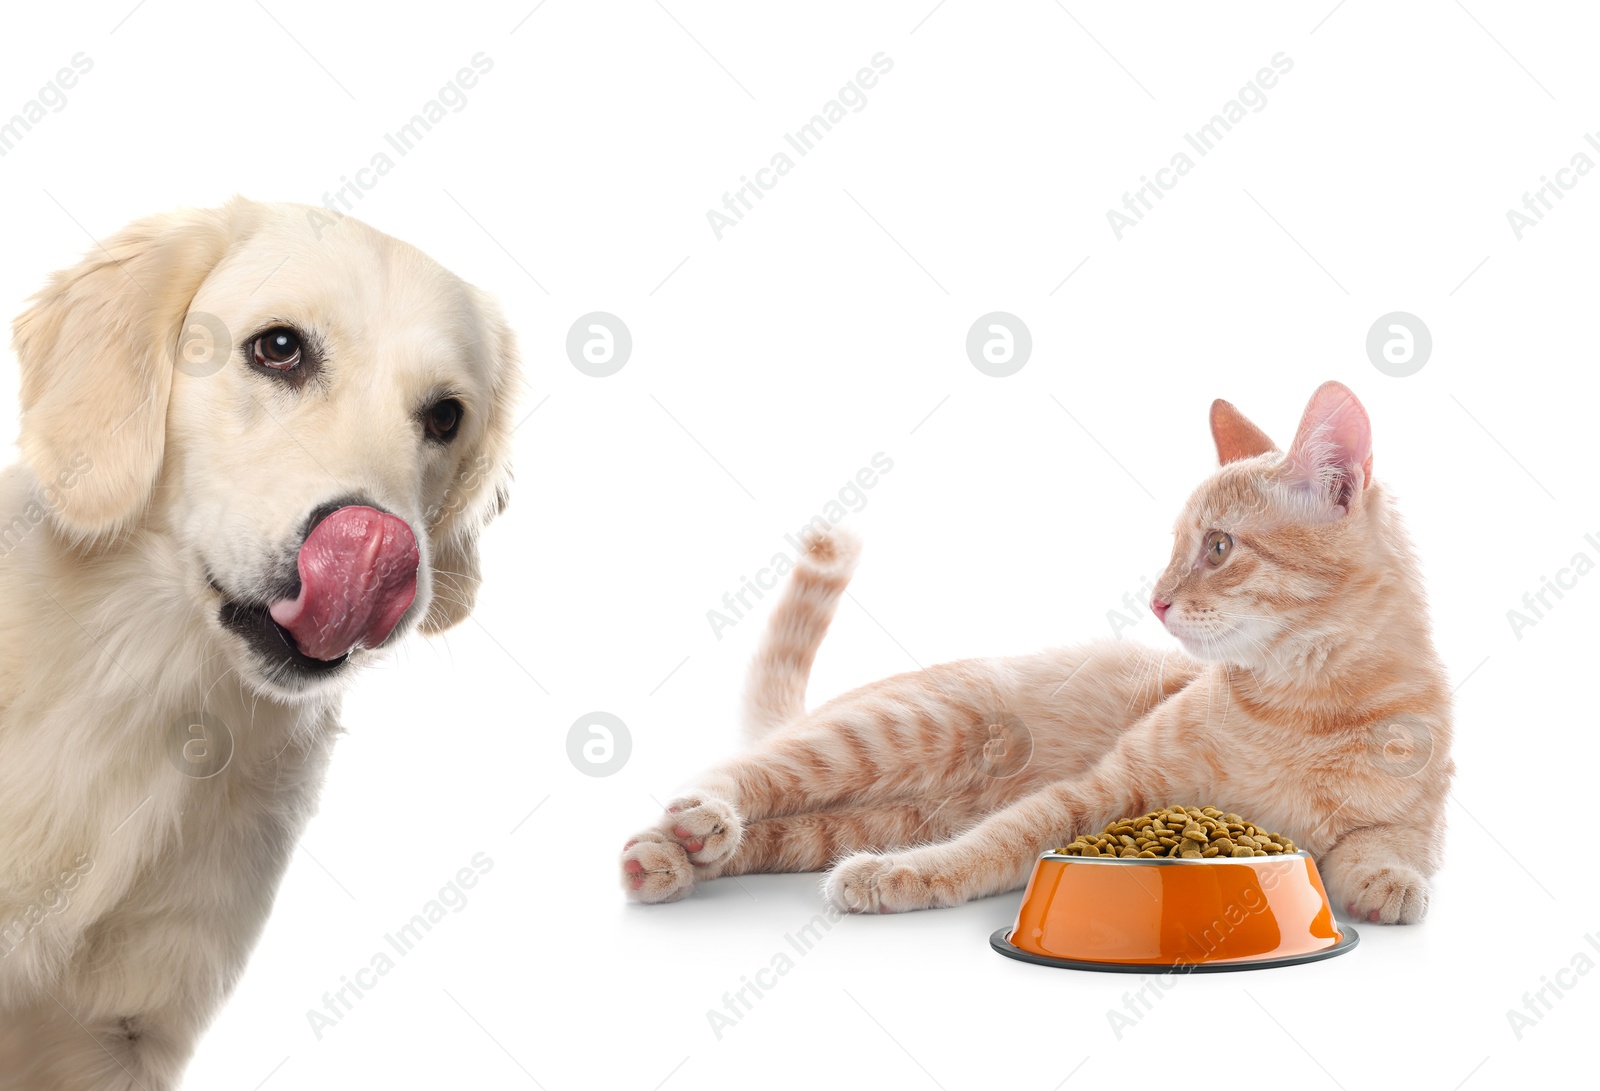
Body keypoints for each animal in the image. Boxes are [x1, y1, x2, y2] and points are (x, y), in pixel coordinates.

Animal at [620, 382, 1452, 915]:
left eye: (1218, 547)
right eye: (1176, 547)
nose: (1156, 597)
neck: (1303, 706)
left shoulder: (1416, 822)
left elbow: (1389, 848)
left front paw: (1388, 884)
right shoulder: (1102, 791)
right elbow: (996, 841)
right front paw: (904, 875)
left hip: (864, 814)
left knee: (780, 832)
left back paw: (674, 857)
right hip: (885, 734)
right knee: (742, 772)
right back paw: (693, 823)